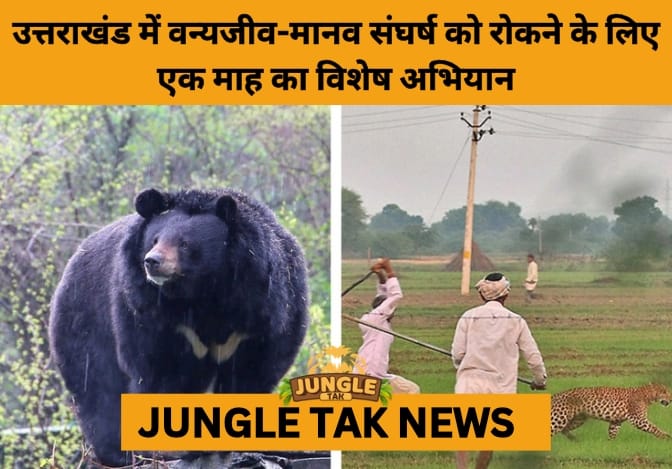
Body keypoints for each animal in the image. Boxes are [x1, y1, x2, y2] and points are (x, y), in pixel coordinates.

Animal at [49, 188, 310, 466]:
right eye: (154, 240)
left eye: (184, 243)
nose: (152, 261)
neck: (203, 294)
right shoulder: (151, 312)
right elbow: (159, 370)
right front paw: (175, 446)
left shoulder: (264, 311)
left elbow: (252, 373)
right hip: (85, 324)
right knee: (98, 389)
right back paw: (118, 453)